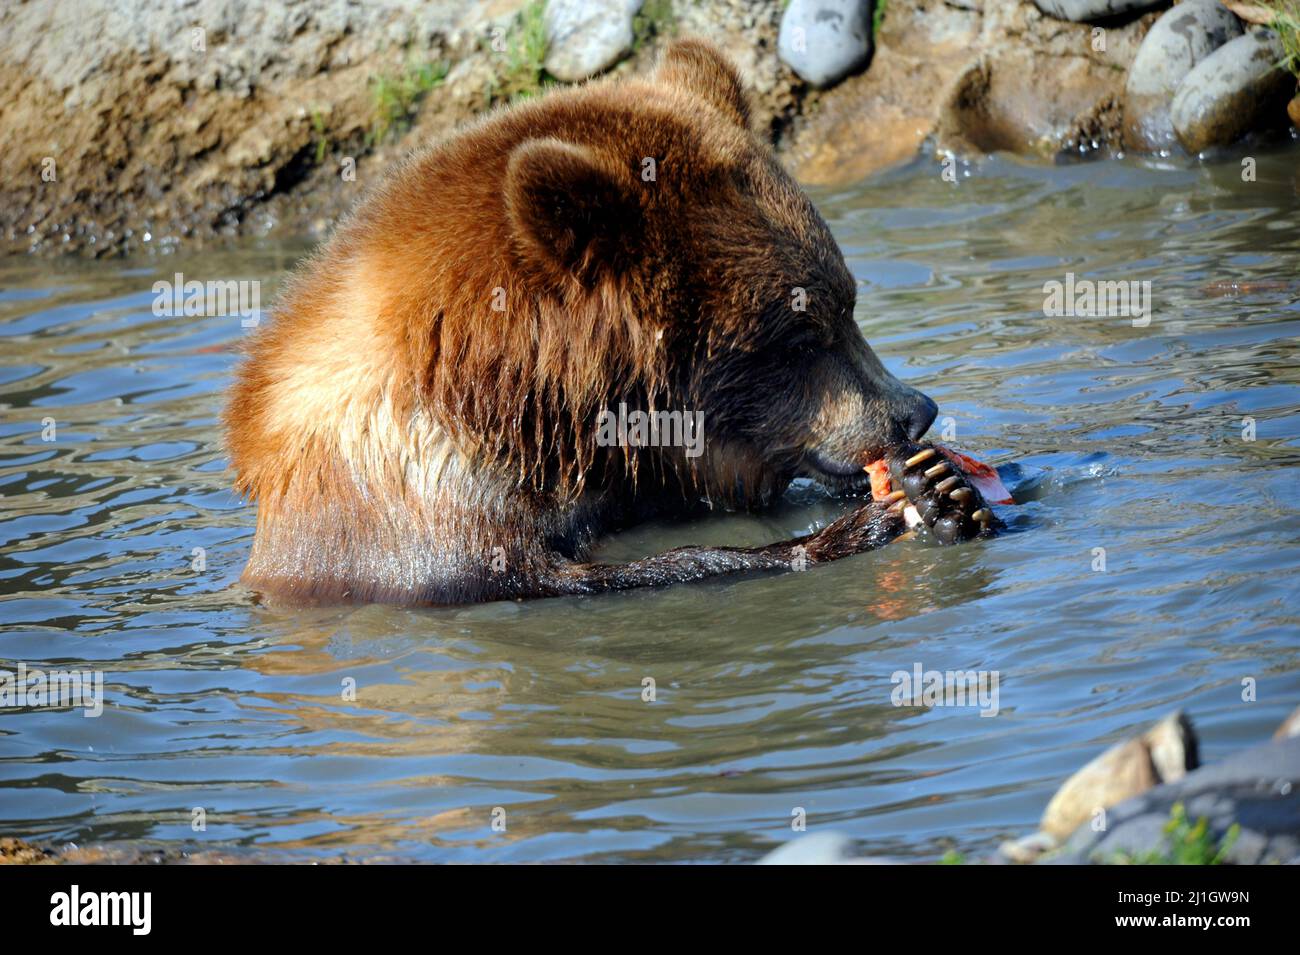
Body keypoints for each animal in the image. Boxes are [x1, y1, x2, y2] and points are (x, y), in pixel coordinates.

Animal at [226, 41, 993, 605]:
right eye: (798, 335)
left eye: (848, 303)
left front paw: (949, 485)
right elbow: (619, 572)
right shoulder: (416, 521)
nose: (914, 410)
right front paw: (873, 520)